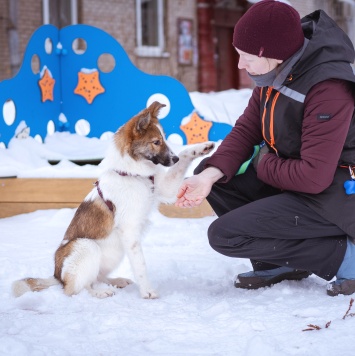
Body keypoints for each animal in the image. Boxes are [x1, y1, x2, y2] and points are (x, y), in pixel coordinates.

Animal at [12, 101, 216, 298]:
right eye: (156, 142)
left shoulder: (165, 188)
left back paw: (116, 281)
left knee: (97, 277)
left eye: (164, 139)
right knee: (74, 289)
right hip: (86, 246)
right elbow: (140, 265)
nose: (173, 159)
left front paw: (202, 148)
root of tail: (56, 276)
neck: (133, 174)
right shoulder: (130, 231)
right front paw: (147, 292)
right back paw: (99, 292)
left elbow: (184, 156)